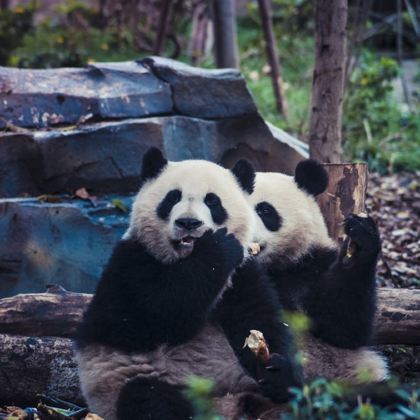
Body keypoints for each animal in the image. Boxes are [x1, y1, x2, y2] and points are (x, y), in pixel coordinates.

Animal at [74, 148, 300, 420]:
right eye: (172, 197)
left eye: (213, 201)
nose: (188, 223)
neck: (185, 260)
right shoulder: (131, 262)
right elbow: (151, 316)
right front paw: (217, 249)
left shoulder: (242, 274)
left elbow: (258, 317)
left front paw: (278, 373)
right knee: (147, 397)